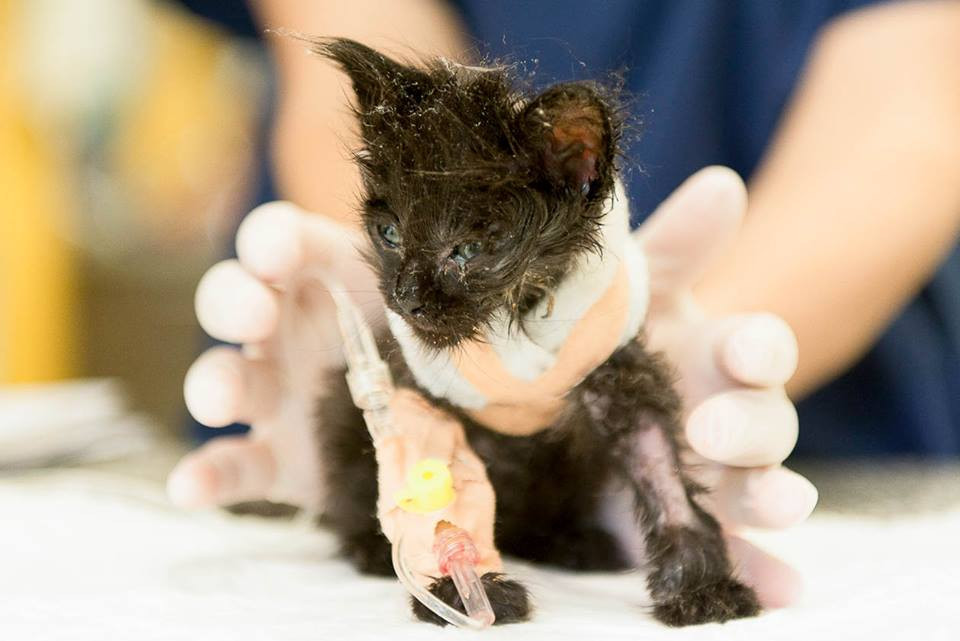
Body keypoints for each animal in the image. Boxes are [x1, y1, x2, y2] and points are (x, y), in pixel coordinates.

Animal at [312, 38, 760, 624]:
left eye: (468, 250)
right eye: (389, 234)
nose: (406, 296)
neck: (514, 326)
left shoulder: (618, 379)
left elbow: (663, 473)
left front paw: (701, 585)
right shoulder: (423, 400)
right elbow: (444, 496)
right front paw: (464, 591)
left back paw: (572, 542)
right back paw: (370, 547)